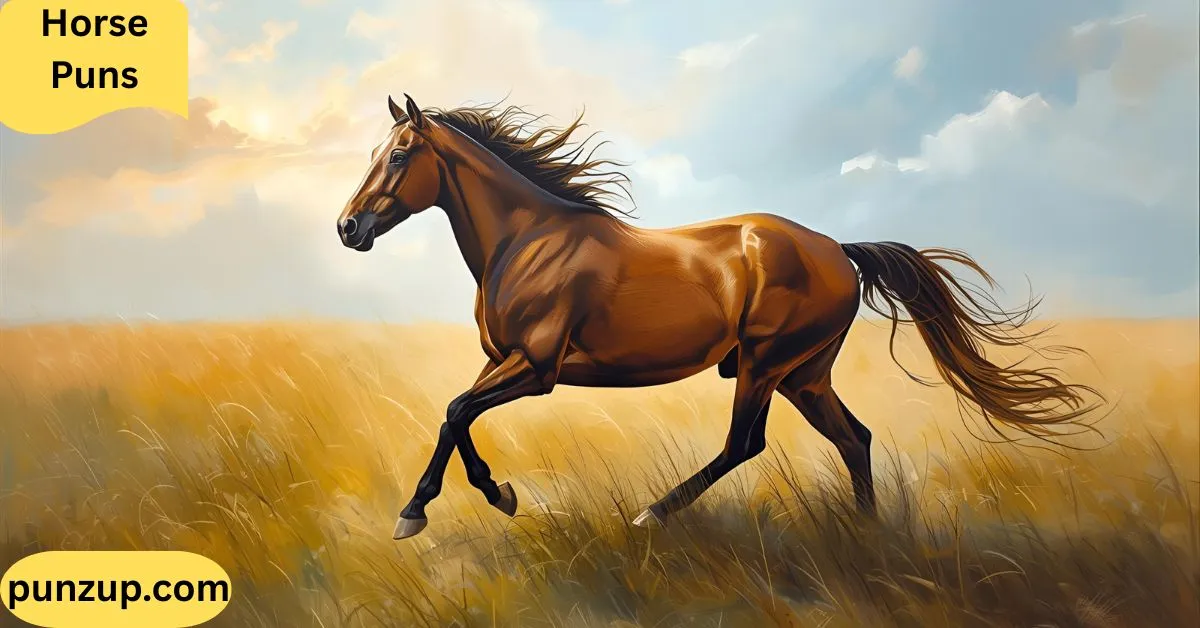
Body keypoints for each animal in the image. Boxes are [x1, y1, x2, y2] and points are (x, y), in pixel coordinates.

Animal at [336, 94, 1100, 540]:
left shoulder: (537, 368)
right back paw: (868, 539)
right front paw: (485, 497)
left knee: (745, 444)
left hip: (765, 365)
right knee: (853, 438)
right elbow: (454, 414)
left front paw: (432, 509)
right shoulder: (502, 361)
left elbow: (456, 410)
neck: (528, 239)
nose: (348, 228)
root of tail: (838, 249)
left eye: (398, 155)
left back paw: (651, 514)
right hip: (806, 376)